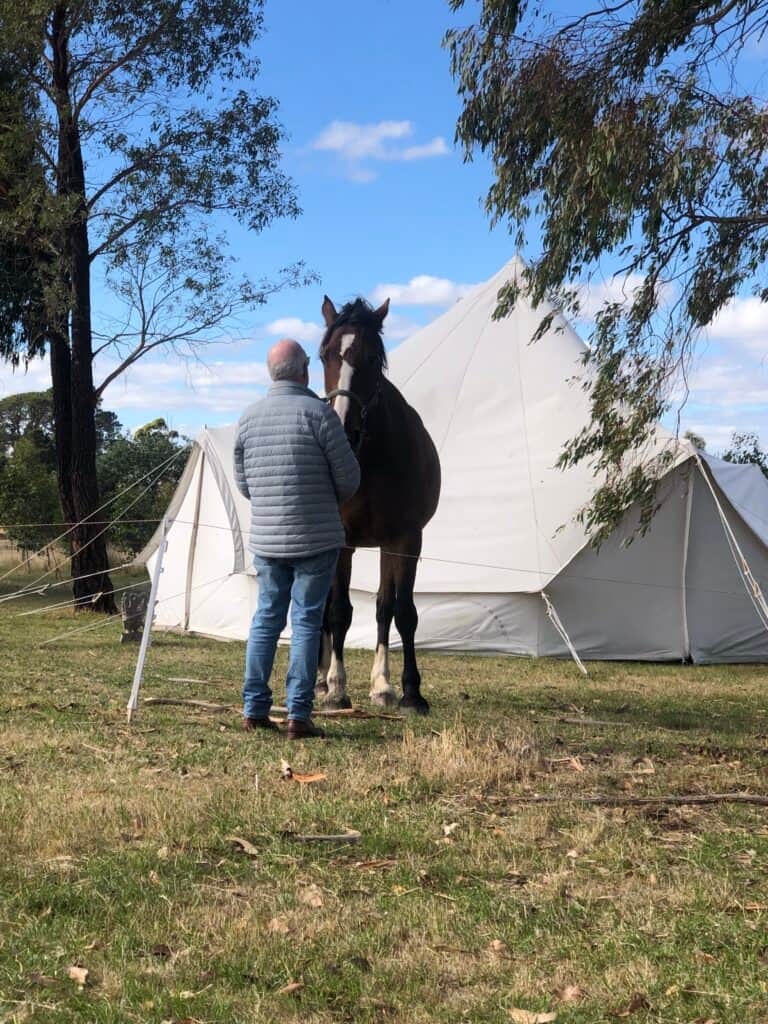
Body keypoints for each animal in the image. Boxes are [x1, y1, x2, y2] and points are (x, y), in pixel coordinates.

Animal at [317, 295, 441, 715]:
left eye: (372, 358)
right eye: (324, 356)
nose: (342, 428)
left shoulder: (404, 541)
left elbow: (400, 612)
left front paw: (408, 692)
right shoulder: (341, 541)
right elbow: (339, 612)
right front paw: (336, 689)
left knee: (384, 609)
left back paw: (381, 686)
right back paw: (320, 679)